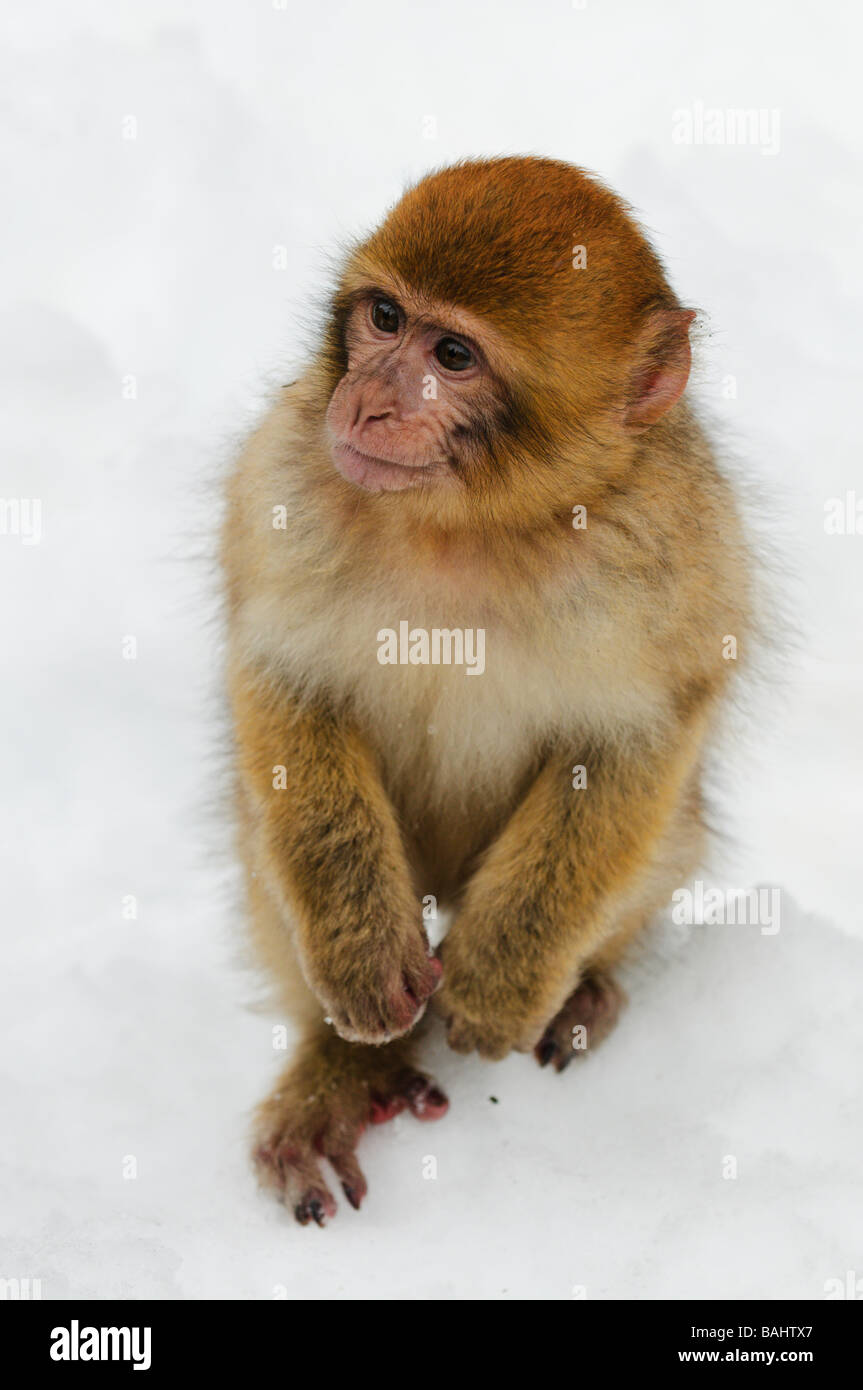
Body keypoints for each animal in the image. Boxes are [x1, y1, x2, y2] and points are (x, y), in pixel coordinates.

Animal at [221, 156, 751, 1226]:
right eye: (383, 318)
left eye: (454, 354)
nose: (367, 402)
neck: (464, 526)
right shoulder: (285, 474)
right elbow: (284, 680)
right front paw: (358, 955)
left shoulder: (678, 542)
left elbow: (643, 733)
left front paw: (502, 978)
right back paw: (345, 1075)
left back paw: (583, 986)